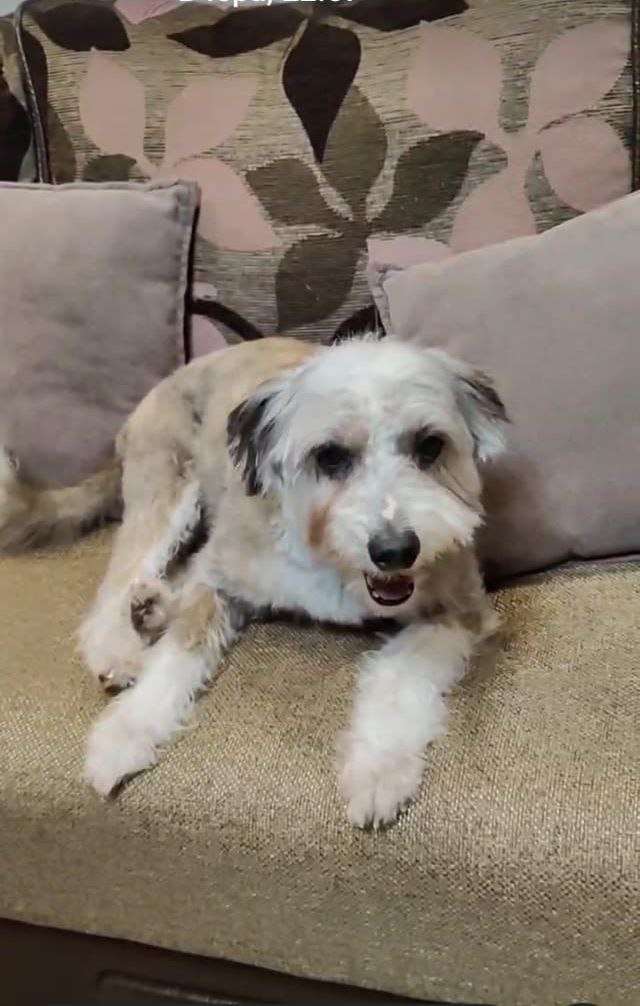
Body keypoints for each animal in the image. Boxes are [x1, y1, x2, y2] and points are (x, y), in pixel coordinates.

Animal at [0, 334, 507, 827]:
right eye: (330, 456)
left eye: (430, 446)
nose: (396, 550)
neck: (331, 561)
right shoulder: (218, 573)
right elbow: (177, 655)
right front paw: (126, 733)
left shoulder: (459, 607)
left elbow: (401, 676)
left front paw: (378, 770)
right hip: (167, 487)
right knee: (120, 579)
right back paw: (119, 646)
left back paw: (151, 609)